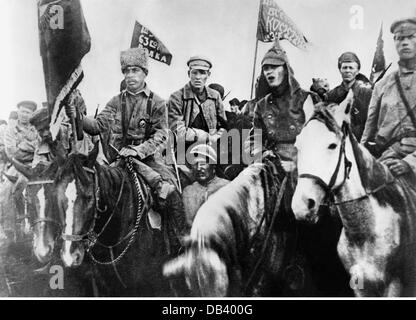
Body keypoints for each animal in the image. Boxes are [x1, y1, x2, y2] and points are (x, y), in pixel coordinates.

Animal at [290, 91, 416, 296]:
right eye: (298, 145)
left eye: (332, 145)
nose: (302, 205)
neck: (364, 233)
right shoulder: (360, 287)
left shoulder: (395, 285)